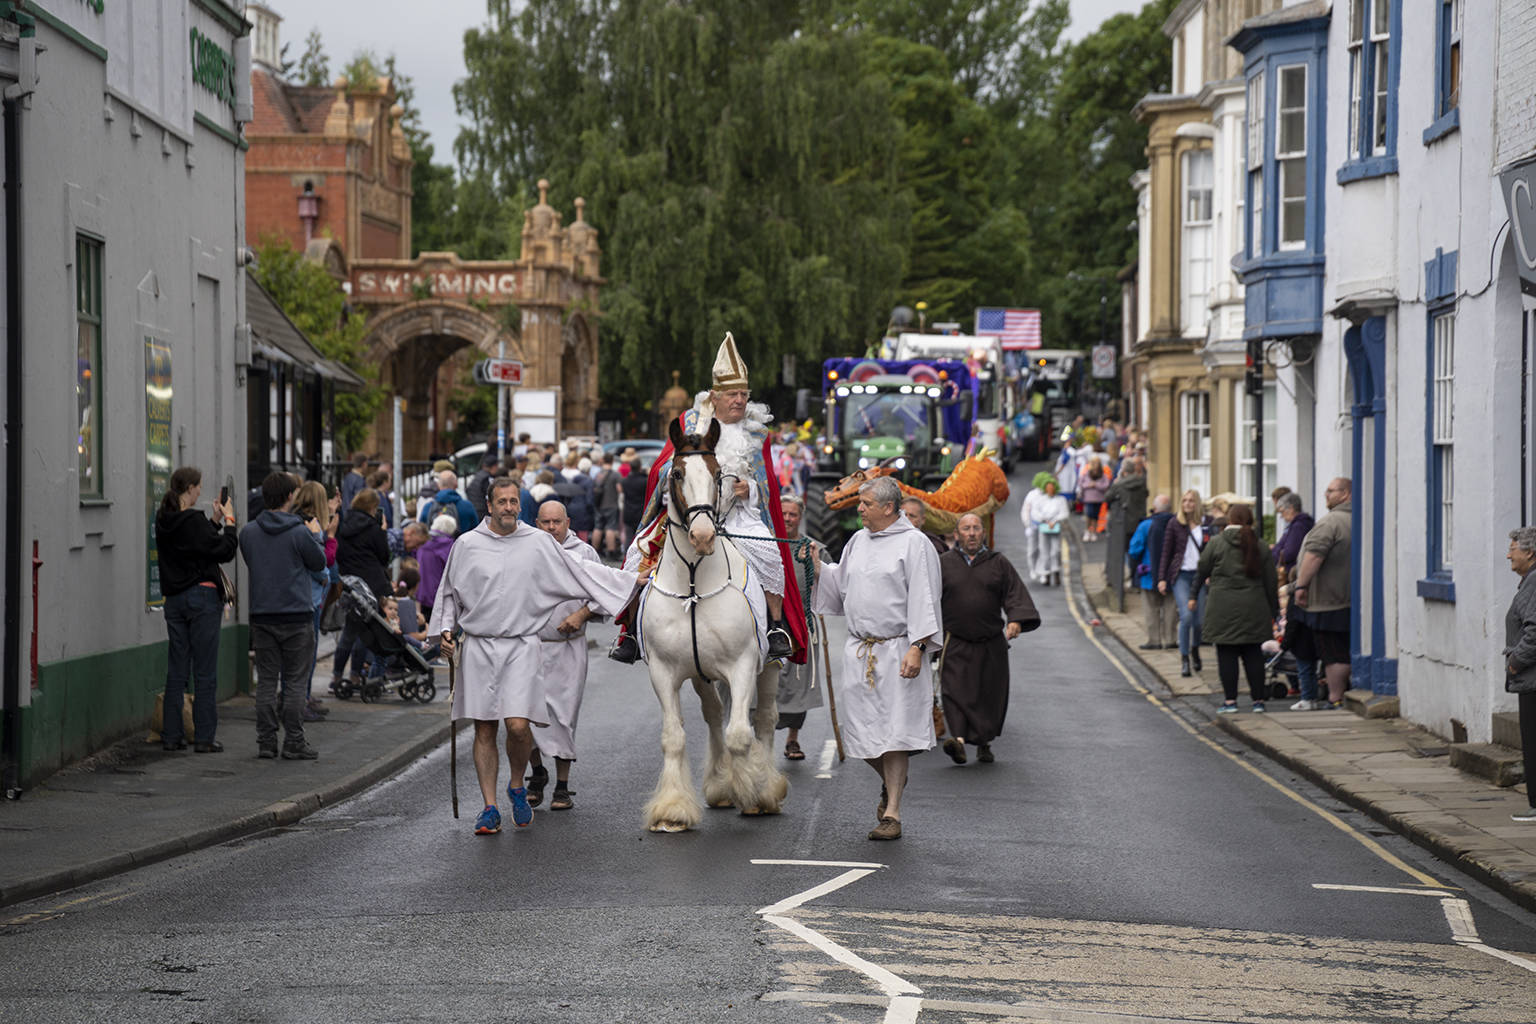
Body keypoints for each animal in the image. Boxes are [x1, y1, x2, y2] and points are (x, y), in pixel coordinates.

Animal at [635, 417, 792, 835]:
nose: (703, 536)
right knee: (713, 714)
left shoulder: (743, 665)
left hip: (769, 667)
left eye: (719, 474)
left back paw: (764, 786)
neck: (694, 582)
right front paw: (673, 809)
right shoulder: (664, 671)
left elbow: (740, 735)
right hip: (701, 673)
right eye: (676, 474)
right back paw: (720, 783)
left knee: (765, 718)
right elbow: (674, 737)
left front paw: (752, 789)